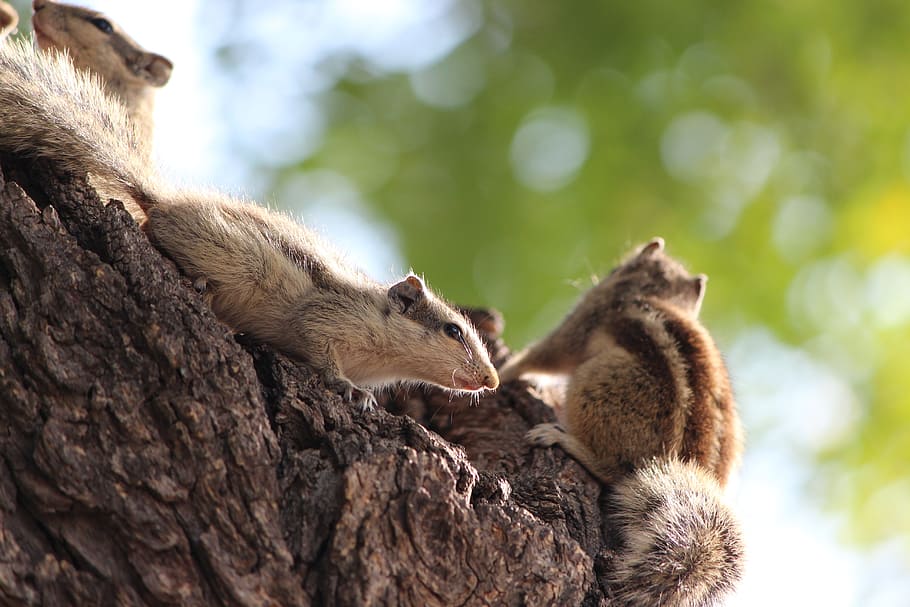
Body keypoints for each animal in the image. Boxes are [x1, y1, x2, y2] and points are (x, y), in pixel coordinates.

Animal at [0, 39, 499, 409]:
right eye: (453, 331)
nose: (492, 380)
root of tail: (160, 201)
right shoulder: (328, 318)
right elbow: (320, 351)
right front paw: (348, 388)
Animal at [499, 238, 744, 606]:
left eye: (618, 269)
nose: (605, 274)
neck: (650, 292)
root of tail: (681, 462)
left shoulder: (584, 320)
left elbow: (545, 354)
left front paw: (501, 371)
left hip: (592, 383)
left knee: (611, 469)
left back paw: (563, 438)